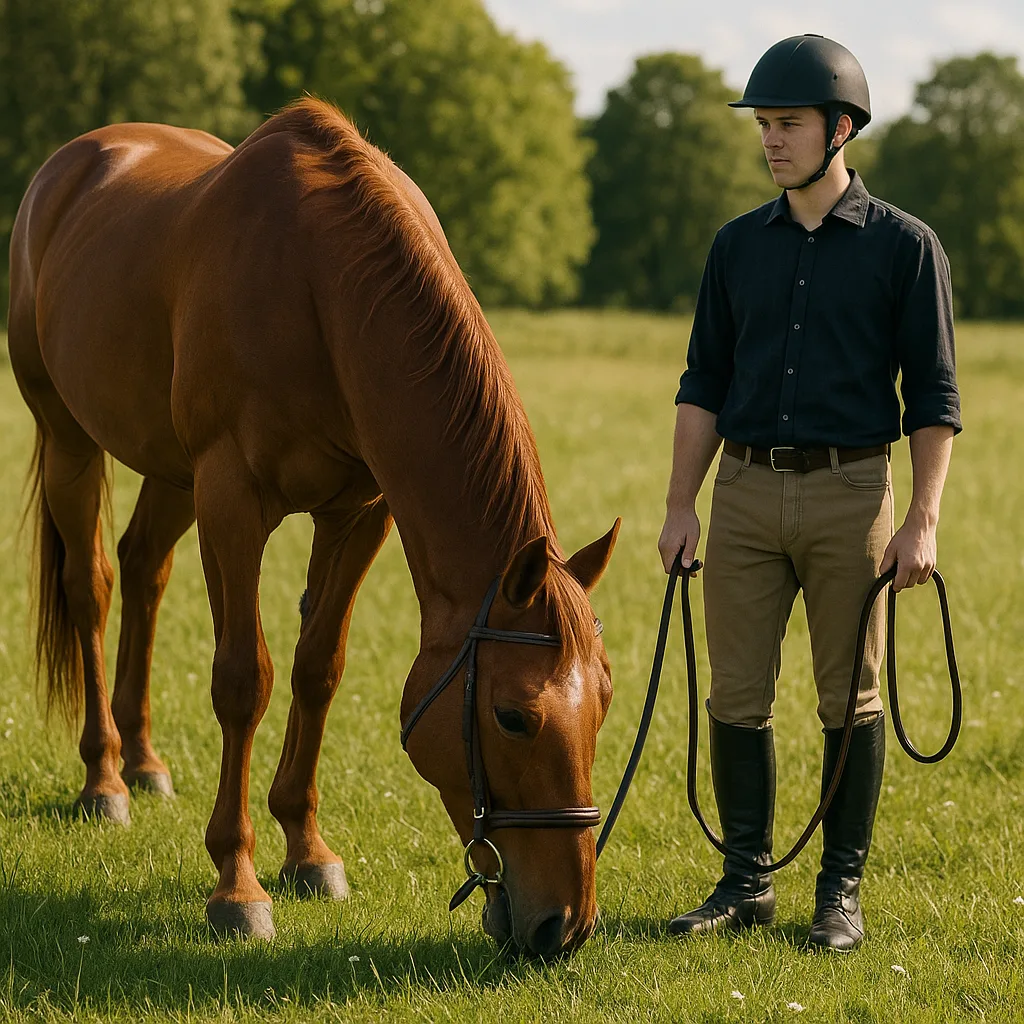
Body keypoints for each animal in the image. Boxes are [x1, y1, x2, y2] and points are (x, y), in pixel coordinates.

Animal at [7, 98, 620, 958]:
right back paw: (105, 776)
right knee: (89, 588)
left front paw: (307, 852)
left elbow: (317, 669)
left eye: (605, 702)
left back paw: (146, 761)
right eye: (514, 717)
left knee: (143, 566)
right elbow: (244, 681)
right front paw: (237, 885)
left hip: (169, 469)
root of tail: (74, 163)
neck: (319, 288)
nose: (565, 924)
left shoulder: (358, 514)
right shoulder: (232, 496)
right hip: (70, 438)